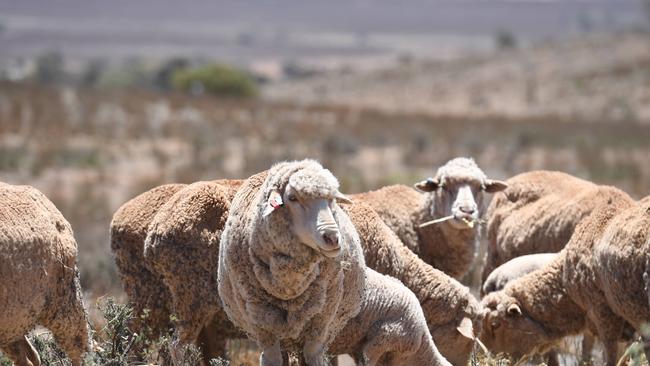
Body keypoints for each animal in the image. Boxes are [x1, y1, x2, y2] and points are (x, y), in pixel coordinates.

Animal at [216, 161, 364, 366]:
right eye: (292, 198)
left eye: (331, 199)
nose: (333, 238)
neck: (288, 287)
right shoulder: (260, 322)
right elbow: (272, 358)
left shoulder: (321, 319)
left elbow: (313, 355)